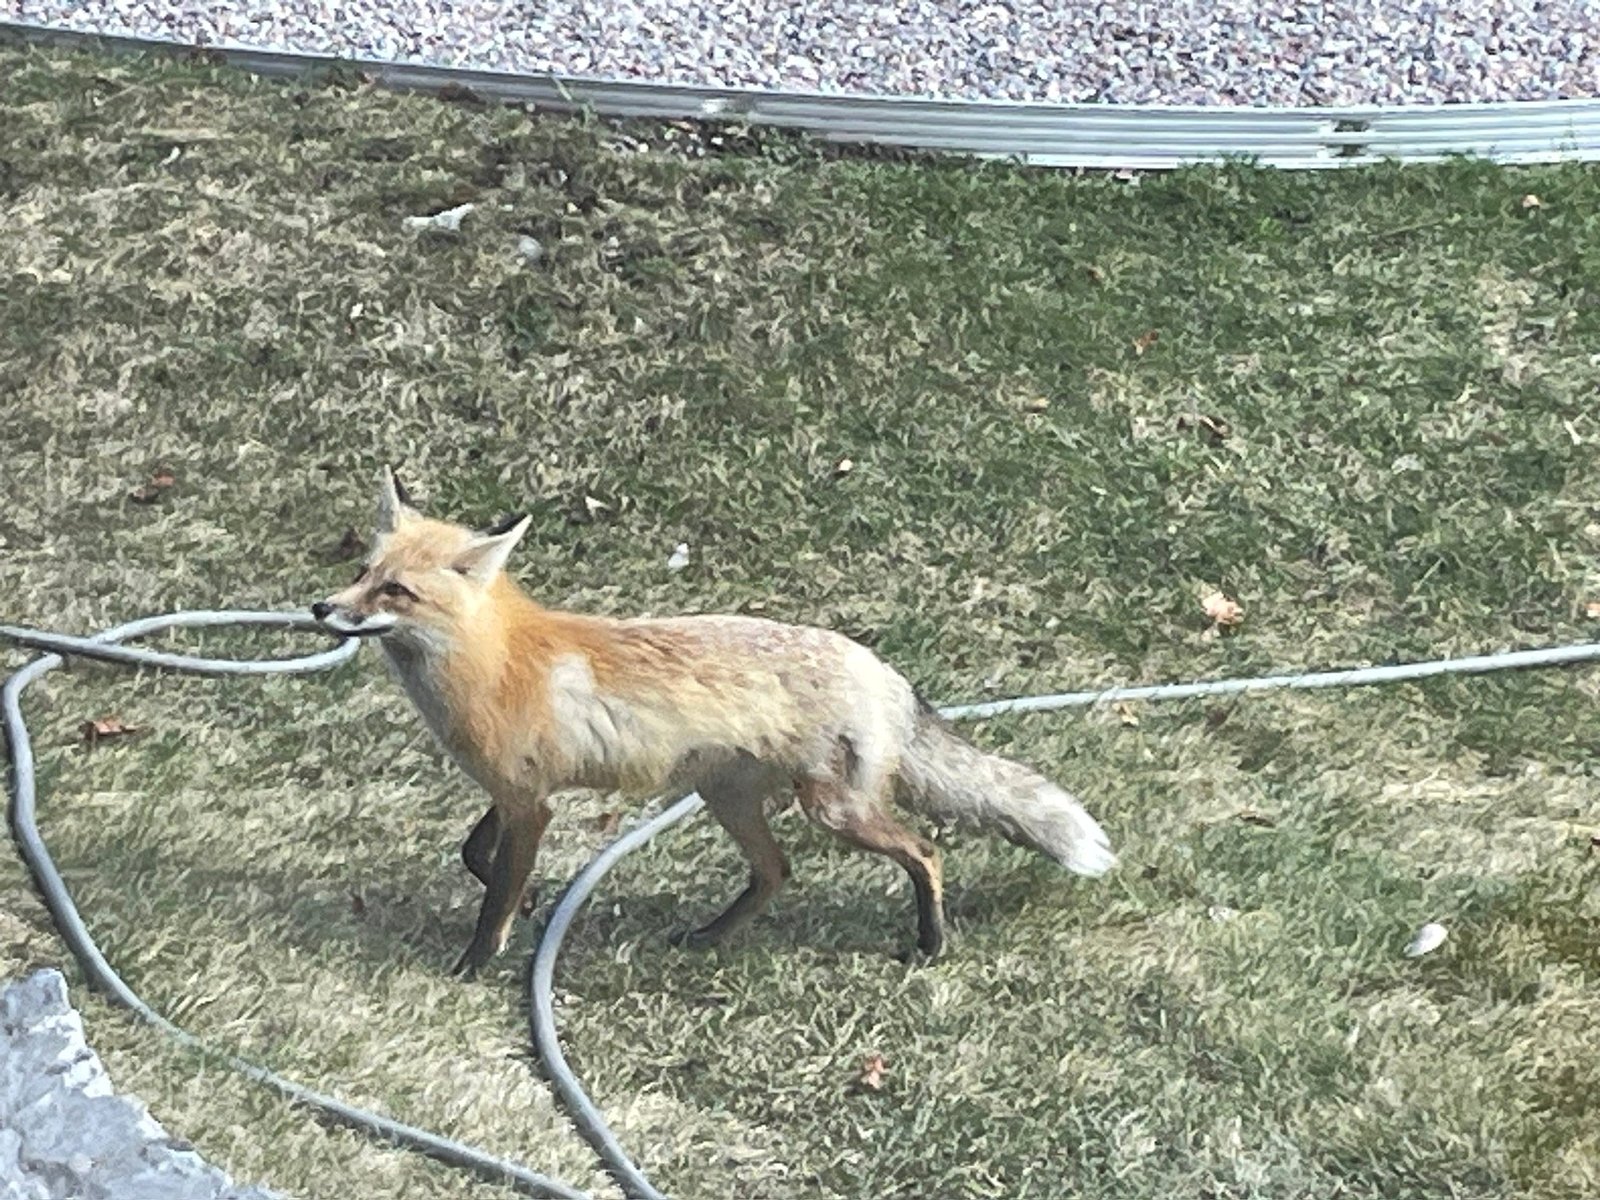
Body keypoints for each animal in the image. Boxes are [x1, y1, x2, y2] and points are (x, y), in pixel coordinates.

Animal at [312, 469, 1116, 977]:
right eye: (362, 572)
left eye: (395, 590)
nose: (321, 608)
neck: (495, 660)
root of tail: (881, 668)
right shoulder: (517, 794)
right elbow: (474, 855)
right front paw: (535, 902)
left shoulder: (530, 805)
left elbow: (494, 900)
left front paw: (473, 967)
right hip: (727, 798)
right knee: (776, 871)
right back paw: (707, 937)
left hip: (834, 810)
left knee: (925, 851)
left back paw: (930, 942)